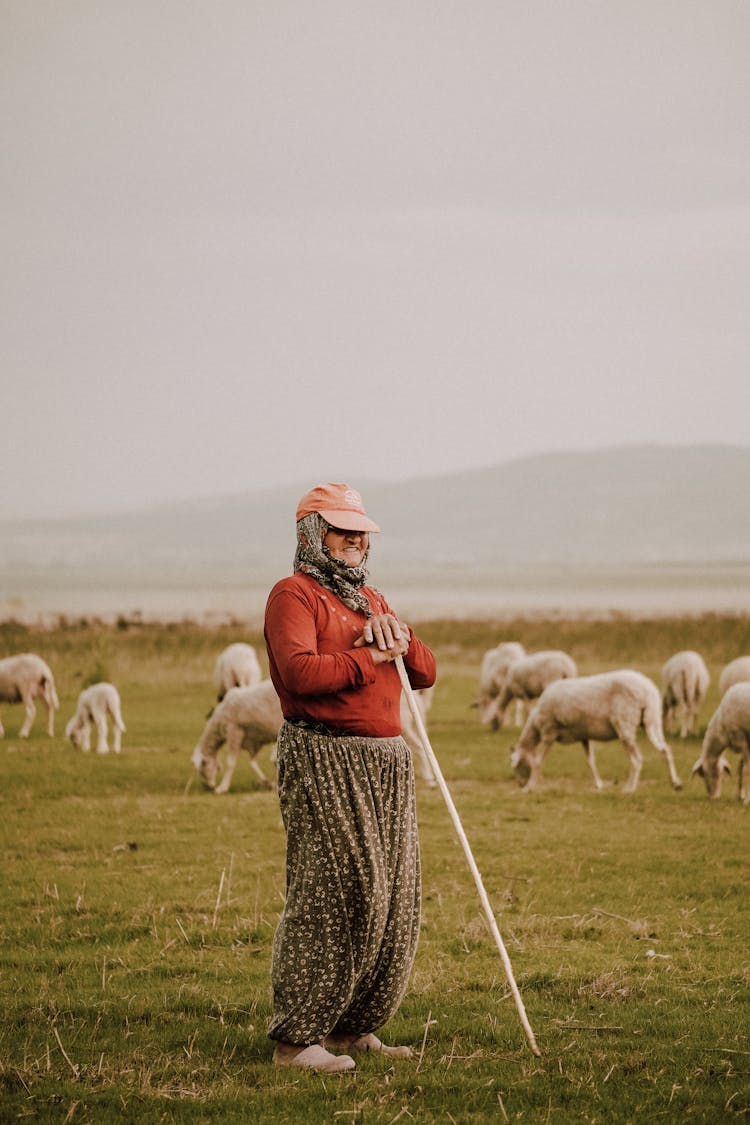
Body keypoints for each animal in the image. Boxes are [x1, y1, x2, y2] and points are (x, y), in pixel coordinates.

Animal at [512, 670, 683, 796]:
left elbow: (537, 762)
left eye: (517, 765)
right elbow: (591, 761)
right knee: (666, 750)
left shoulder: (549, 732)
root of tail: (647, 690)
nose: (520, 783)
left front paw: (529, 787)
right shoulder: (583, 735)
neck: (535, 724)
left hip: (625, 724)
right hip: (652, 720)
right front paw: (599, 784)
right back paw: (676, 783)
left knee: (637, 759)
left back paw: (629, 789)